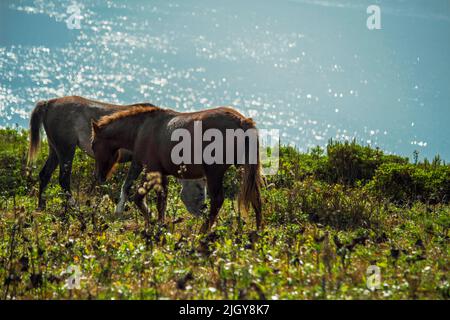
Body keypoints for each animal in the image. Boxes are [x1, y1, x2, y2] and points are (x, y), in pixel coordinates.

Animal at [90, 105, 262, 232]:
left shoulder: (151, 170)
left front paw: (152, 222)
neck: (141, 129)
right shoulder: (160, 173)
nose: (99, 176)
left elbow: (138, 197)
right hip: (243, 170)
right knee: (256, 198)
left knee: (217, 200)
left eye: (93, 145)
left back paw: (203, 231)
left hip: (215, 173)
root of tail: (242, 121)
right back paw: (258, 230)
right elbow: (161, 201)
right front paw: (160, 224)